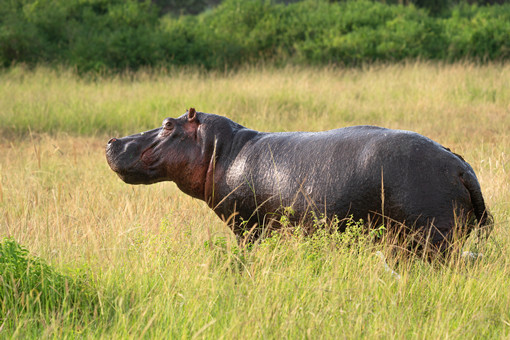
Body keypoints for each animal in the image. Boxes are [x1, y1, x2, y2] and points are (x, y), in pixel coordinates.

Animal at [105, 109, 492, 250]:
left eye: (168, 124)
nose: (112, 140)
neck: (222, 150)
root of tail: (461, 168)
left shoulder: (248, 227)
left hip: (430, 237)